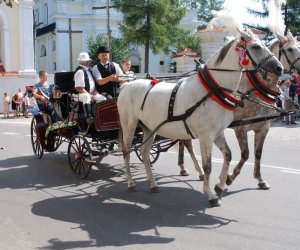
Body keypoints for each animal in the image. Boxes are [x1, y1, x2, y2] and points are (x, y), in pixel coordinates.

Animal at [116, 28, 282, 207]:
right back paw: (131, 183)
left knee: (144, 152)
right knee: (127, 152)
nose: (279, 68)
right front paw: (211, 194)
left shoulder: (218, 133)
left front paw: (221, 184)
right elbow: (207, 165)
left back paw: (153, 184)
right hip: (129, 125)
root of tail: (126, 85)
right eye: (256, 46)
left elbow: (228, 155)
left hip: (149, 128)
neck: (212, 90)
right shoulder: (206, 136)